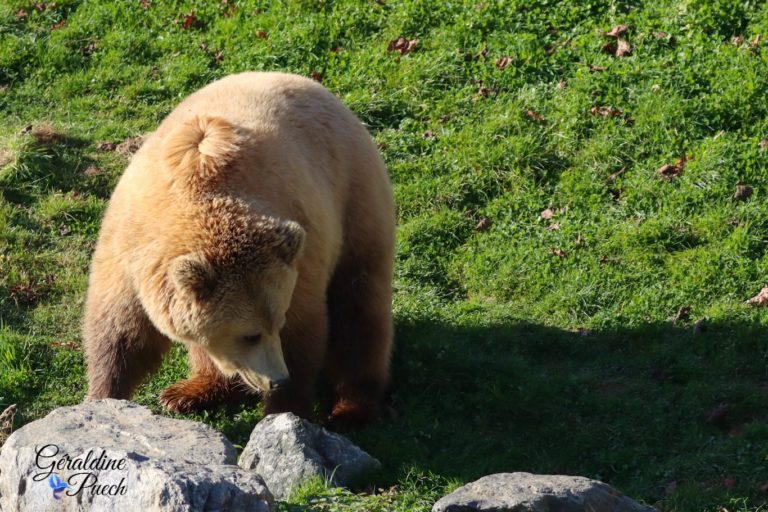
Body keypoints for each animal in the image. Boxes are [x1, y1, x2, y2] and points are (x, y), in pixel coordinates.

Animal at [84, 70, 396, 426]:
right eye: (249, 335)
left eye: (277, 324)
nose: (278, 379)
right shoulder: (128, 256)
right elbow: (121, 333)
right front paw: (102, 398)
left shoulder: (301, 259)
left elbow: (305, 333)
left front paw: (285, 411)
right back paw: (191, 391)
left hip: (354, 202)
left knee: (359, 310)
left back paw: (352, 410)